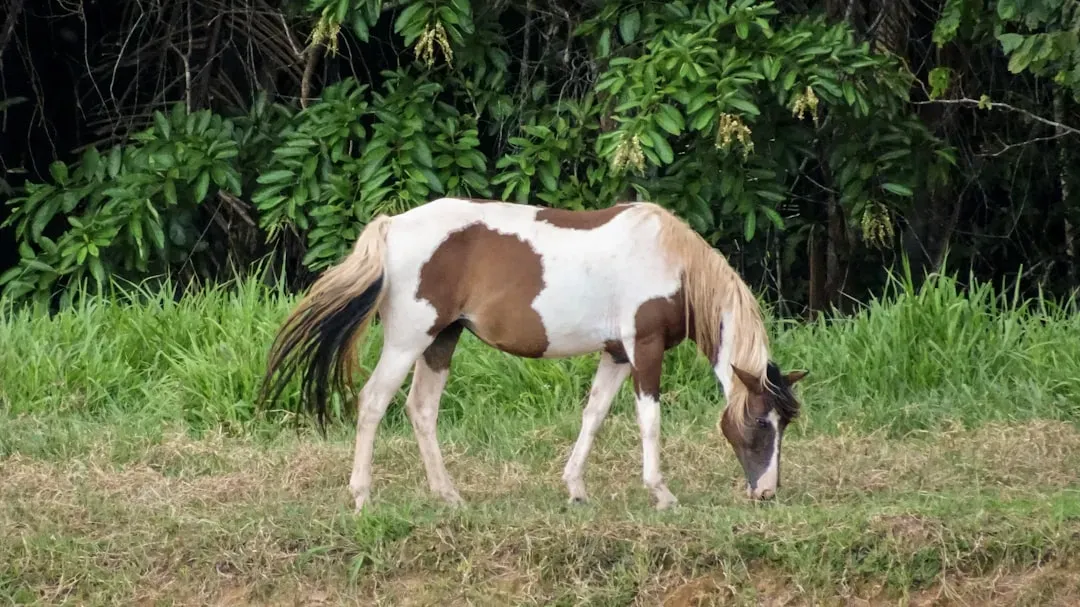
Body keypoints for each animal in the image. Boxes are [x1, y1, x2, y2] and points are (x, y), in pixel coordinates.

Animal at [258, 197, 808, 513]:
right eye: (761, 424)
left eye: (785, 424)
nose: (767, 493)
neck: (670, 261)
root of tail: (392, 226)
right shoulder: (644, 348)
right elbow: (649, 420)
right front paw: (662, 493)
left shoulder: (617, 354)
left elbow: (594, 414)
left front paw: (575, 488)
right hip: (409, 338)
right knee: (373, 402)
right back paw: (362, 497)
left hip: (442, 339)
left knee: (421, 409)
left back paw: (449, 496)